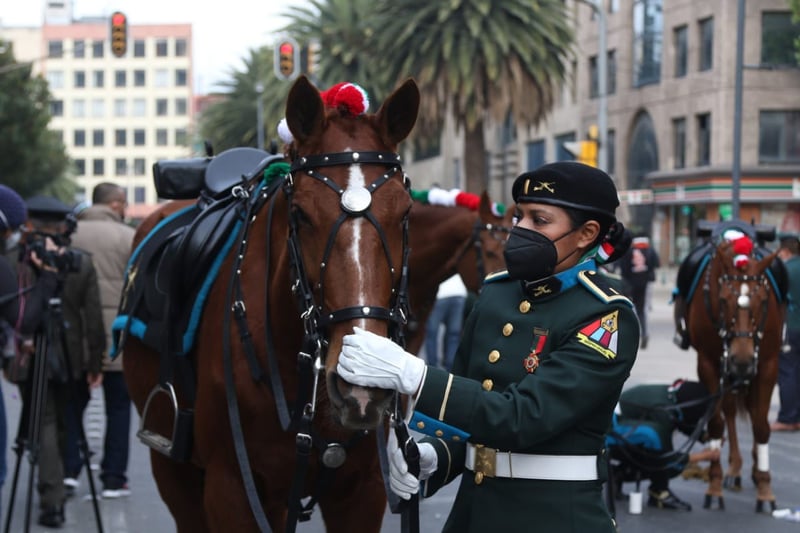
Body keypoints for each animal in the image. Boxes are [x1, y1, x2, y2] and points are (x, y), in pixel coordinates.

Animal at [122, 76, 422, 532]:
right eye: (299, 215)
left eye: (405, 214)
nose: (362, 389)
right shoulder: (229, 491)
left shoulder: (362, 492)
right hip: (174, 472)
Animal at [684, 234, 784, 512]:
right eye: (723, 300)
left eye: (763, 301)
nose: (742, 362)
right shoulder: (708, 364)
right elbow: (716, 424)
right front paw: (715, 485)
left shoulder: (767, 365)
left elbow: (761, 425)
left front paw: (765, 489)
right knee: (728, 410)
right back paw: (734, 468)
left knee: (752, 410)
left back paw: (753, 469)